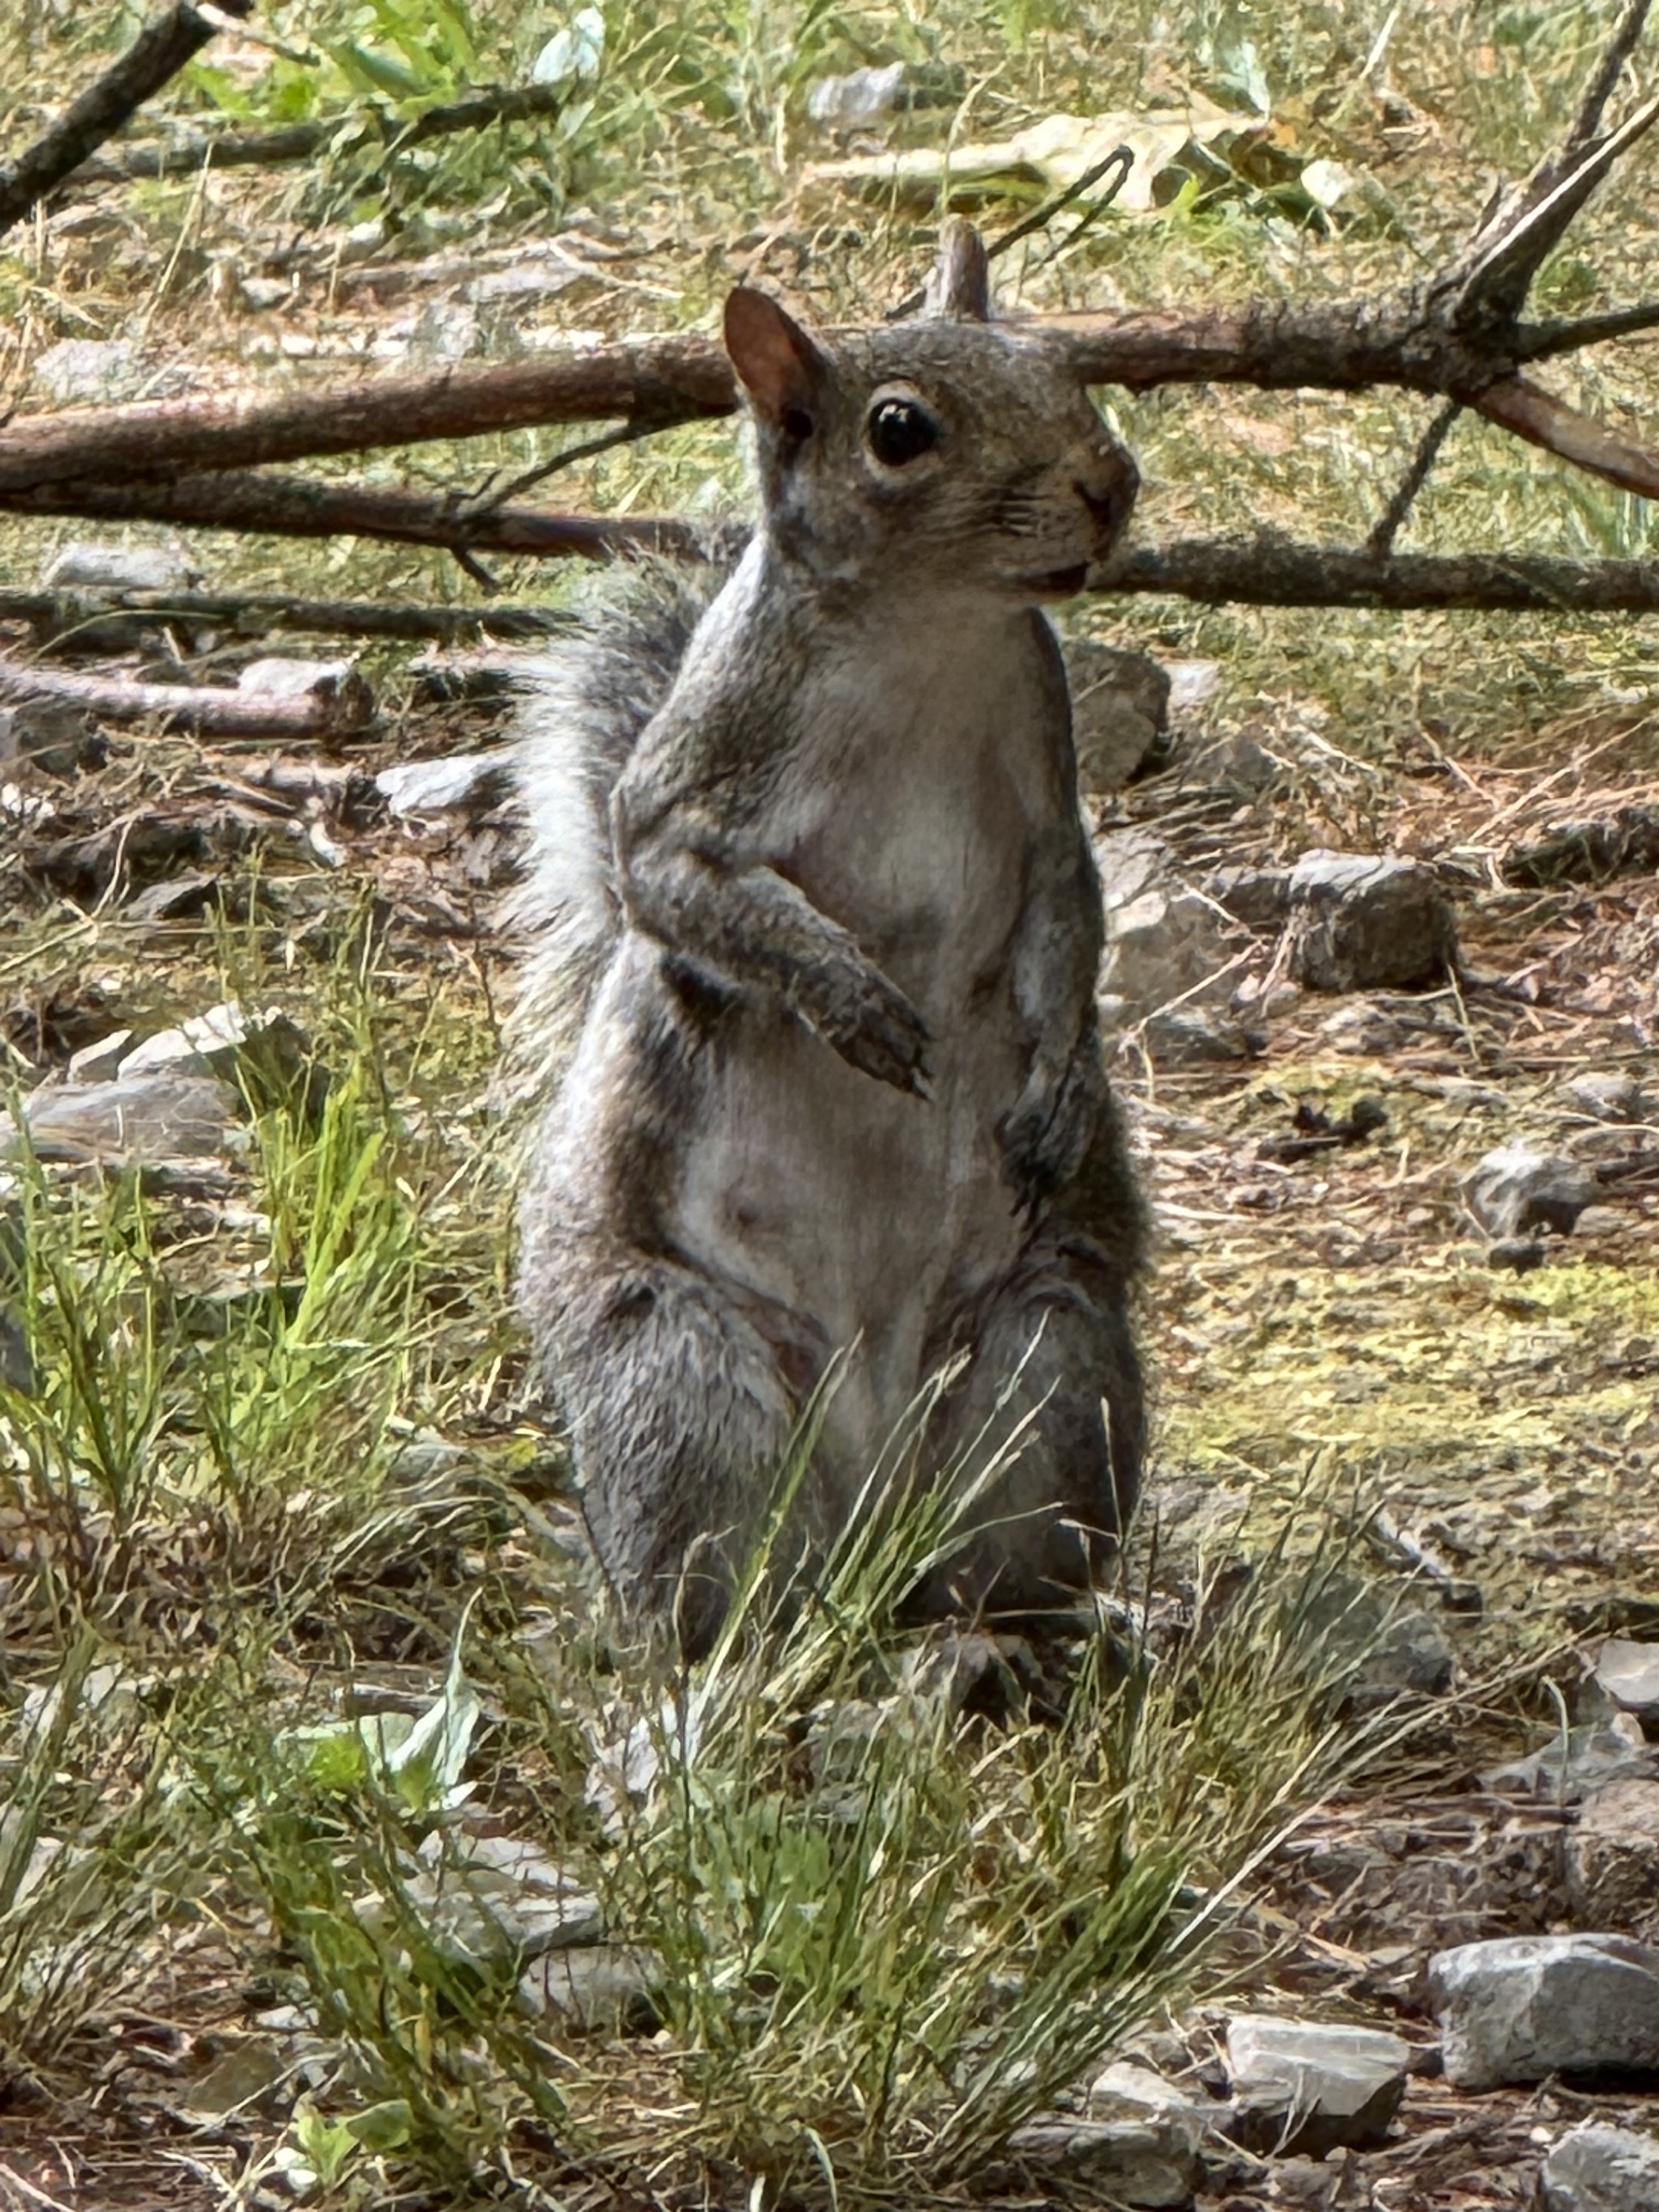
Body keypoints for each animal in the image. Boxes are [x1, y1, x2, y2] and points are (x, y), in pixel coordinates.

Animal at [510, 222, 1145, 1655]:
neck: (929, 638)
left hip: (1046, 1362)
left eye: (1062, 361)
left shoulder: (1051, 805)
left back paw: (1025, 1643)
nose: (1110, 484)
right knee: (721, 1581)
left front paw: (1061, 1088)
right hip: (682, 1384)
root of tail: (869, 1515)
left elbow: (1068, 931)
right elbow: (686, 890)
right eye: (898, 431)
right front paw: (846, 993)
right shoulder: (685, 793)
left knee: (1000, 1563)